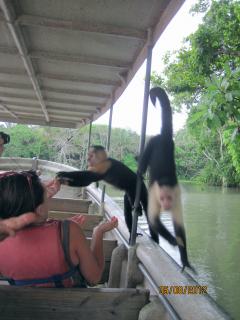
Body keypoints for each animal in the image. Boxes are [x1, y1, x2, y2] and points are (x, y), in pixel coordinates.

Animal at [139, 87, 195, 272]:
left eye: (169, 198)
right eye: (163, 198)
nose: (166, 205)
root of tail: (164, 137)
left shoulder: (177, 197)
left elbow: (180, 228)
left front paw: (185, 260)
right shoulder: (155, 196)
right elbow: (154, 220)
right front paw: (172, 241)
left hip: (171, 144)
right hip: (154, 141)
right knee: (145, 157)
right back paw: (139, 171)